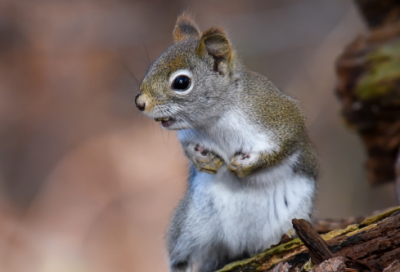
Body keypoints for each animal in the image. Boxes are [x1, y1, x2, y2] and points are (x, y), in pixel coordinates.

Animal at [136, 13, 318, 272]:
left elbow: (285, 147)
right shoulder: (189, 134)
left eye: (181, 82)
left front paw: (246, 167)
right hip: (190, 225)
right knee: (183, 257)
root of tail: (238, 243)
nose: (139, 103)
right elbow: (188, 148)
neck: (214, 121)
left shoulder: (281, 120)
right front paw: (201, 159)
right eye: (152, 67)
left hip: (290, 214)